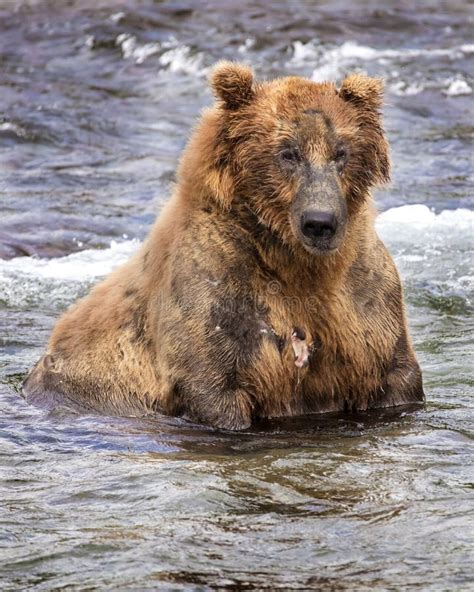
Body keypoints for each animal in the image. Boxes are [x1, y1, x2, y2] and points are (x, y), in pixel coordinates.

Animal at [22, 62, 424, 428]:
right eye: (287, 153)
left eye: (341, 152)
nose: (319, 222)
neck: (298, 265)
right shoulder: (217, 294)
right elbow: (214, 382)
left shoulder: (365, 302)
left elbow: (396, 374)